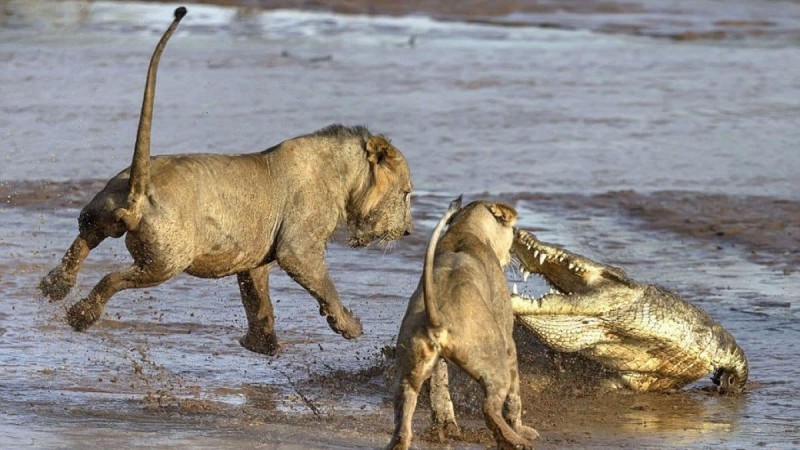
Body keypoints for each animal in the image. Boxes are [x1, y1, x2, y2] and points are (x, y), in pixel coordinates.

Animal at [37, 6, 412, 356]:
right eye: (407, 193)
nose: (408, 231)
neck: (343, 174)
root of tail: (139, 191)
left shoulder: (253, 257)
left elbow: (258, 301)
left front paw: (262, 345)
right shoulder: (298, 247)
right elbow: (323, 284)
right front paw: (349, 326)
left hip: (100, 211)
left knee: (82, 241)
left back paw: (54, 286)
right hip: (166, 261)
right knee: (112, 278)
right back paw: (81, 314)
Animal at [388, 197, 536, 450]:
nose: (515, 253)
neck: (465, 228)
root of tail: (438, 321)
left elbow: (440, 388)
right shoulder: (509, 339)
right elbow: (515, 397)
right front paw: (521, 428)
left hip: (408, 372)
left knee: (403, 424)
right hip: (495, 362)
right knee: (489, 407)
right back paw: (515, 440)